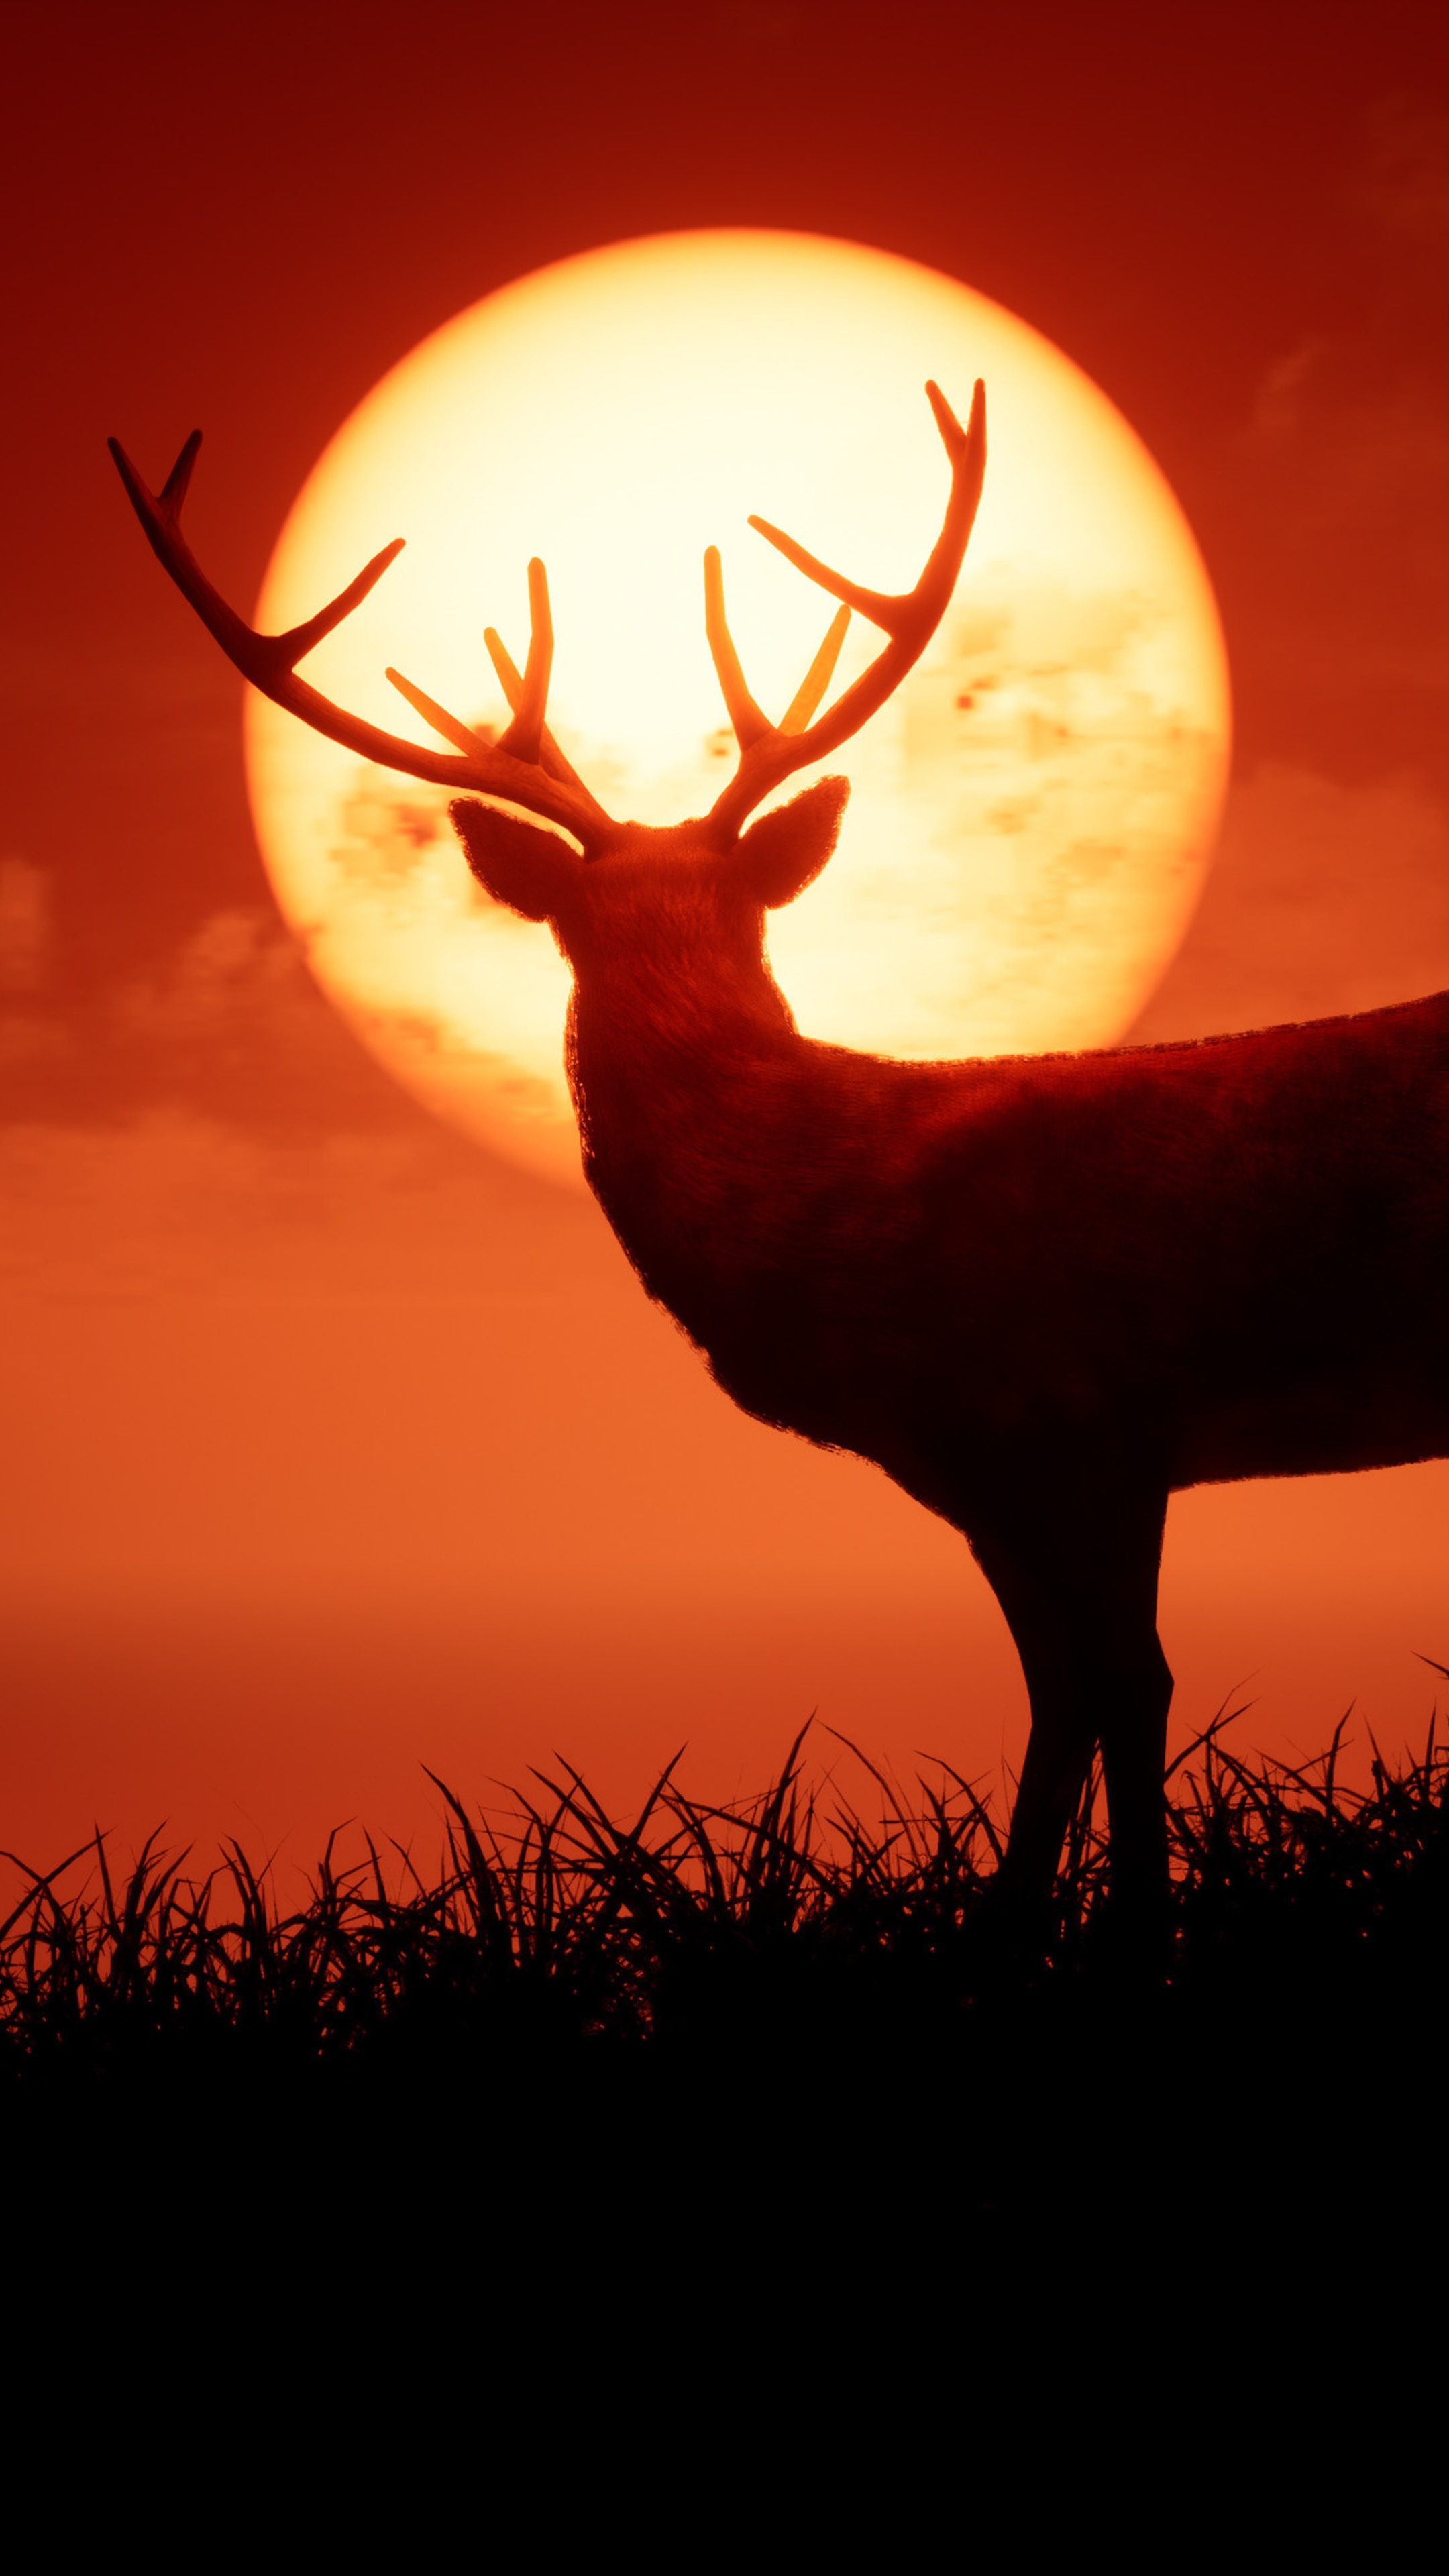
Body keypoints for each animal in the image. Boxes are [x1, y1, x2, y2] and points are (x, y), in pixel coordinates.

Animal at [110, 382, 1449, 1930]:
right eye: (585, 922)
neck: (835, 1216)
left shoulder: (1092, 1415)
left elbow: (1126, 1683)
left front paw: (1121, 1932)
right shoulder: (991, 1471)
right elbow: (1065, 1692)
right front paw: (1019, 1927)